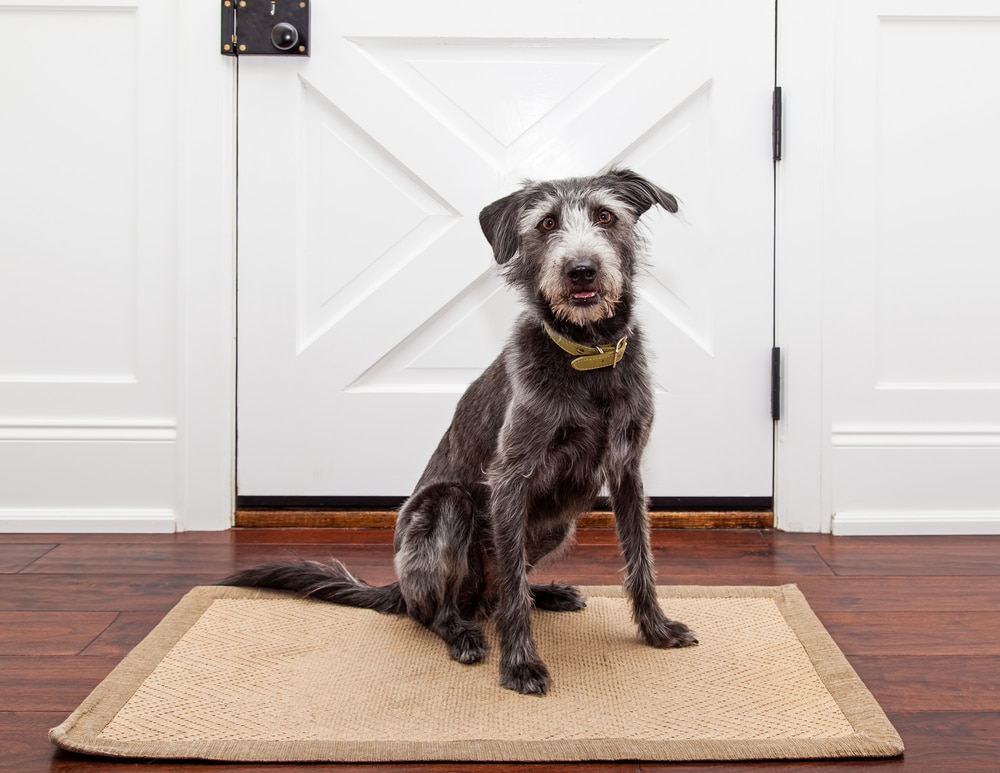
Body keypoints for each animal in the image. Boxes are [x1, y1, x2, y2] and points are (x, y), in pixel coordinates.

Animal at [224, 167, 700, 692]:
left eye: (605, 216)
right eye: (547, 223)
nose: (581, 270)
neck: (586, 359)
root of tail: (398, 588)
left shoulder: (626, 472)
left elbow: (640, 561)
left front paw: (656, 630)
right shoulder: (511, 479)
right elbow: (513, 587)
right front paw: (520, 663)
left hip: (558, 524)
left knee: (503, 588)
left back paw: (547, 594)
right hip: (446, 509)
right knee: (441, 610)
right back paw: (463, 635)